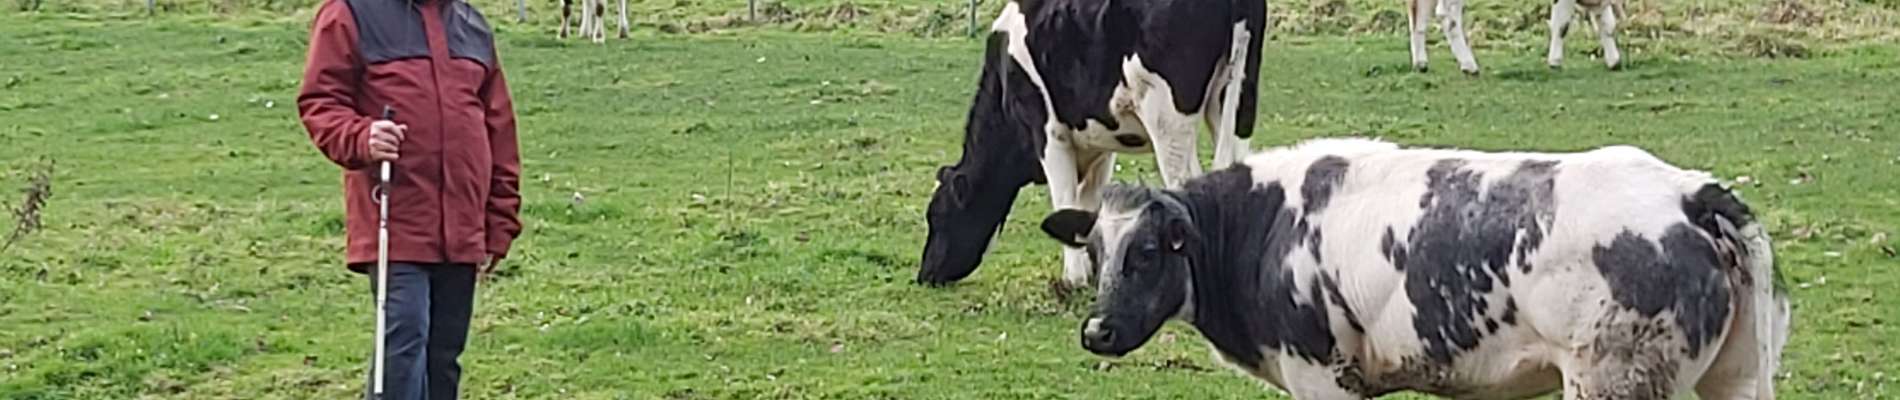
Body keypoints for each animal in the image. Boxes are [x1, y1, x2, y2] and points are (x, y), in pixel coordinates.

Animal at [916, 0, 1270, 287]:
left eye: (937, 216)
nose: (924, 275)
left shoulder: (1048, 132)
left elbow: (1065, 197)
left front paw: (1073, 279)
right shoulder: (1100, 142)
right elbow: (1089, 202)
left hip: (1167, 115)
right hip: (1238, 101)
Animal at [1040, 138, 1791, 399]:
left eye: (1147, 253)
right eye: (1096, 252)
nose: (1096, 333)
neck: (1265, 223)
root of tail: (1690, 194)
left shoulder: (1322, 379)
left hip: (1613, 382)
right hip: (1733, 380)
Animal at [1409, 0, 1623, 73]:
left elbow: (1607, 24)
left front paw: (1614, 61)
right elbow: (1562, 24)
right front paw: (1555, 61)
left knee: (1417, 14)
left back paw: (1421, 63)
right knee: (1447, 15)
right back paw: (1469, 65)